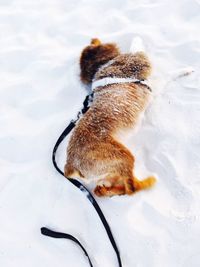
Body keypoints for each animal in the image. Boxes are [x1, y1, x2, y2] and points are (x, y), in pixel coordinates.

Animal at [64, 38, 156, 197]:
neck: (100, 65)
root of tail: (71, 165)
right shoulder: (138, 62)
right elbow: (138, 48)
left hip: (108, 173)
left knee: (105, 190)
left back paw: (107, 190)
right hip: (123, 156)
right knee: (131, 189)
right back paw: (148, 182)